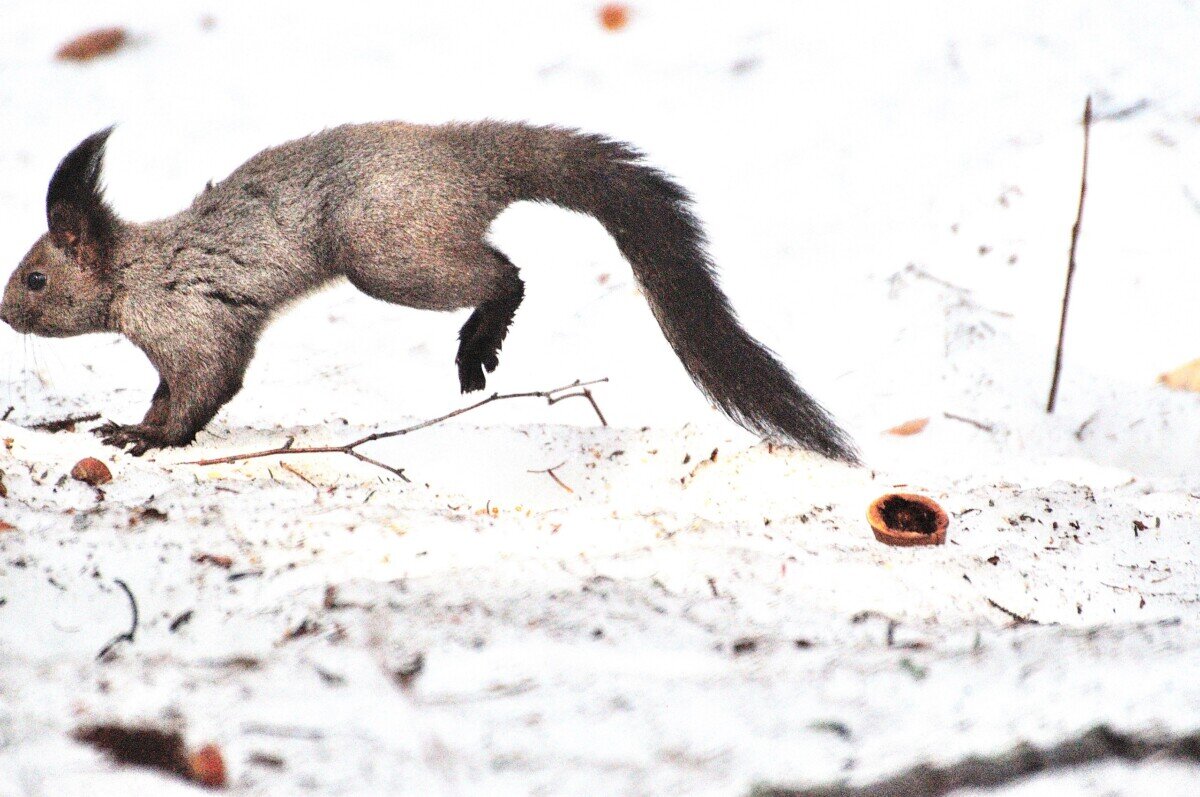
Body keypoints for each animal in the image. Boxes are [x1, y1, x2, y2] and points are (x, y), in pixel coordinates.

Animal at [4, 123, 859, 460]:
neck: (134, 272)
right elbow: (170, 390)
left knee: (504, 273)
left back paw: (480, 339)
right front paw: (127, 424)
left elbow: (200, 390)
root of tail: (476, 162)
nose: (5, 309)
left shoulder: (193, 320)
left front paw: (142, 438)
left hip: (385, 252)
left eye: (36, 276)